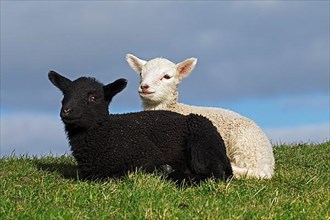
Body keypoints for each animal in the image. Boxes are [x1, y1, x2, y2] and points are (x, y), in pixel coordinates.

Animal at [48, 71, 232, 184]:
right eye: (65, 95)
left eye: (93, 97)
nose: (67, 111)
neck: (108, 135)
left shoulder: (147, 155)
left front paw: (165, 171)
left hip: (201, 143)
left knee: (213, 174)